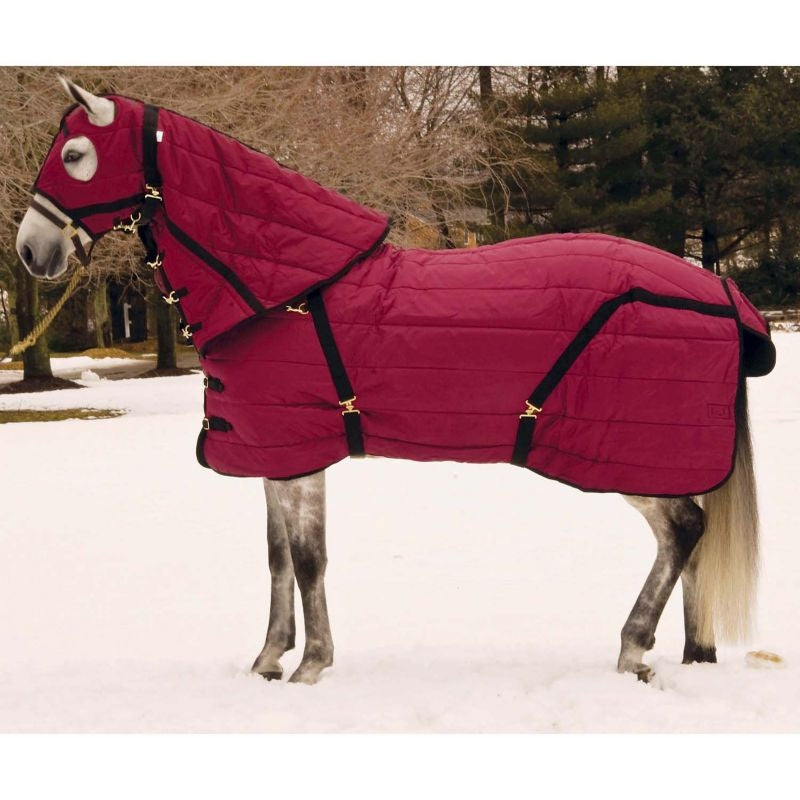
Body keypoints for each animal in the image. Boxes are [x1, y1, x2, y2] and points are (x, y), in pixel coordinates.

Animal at [15, 78, 776, 685]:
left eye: (76, 156)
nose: (30, 251)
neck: (289, 286)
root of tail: (720, 289)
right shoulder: (277, 454)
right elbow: (278, 559)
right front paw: (268, 660)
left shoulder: (303, 453)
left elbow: (309, 559)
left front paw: (311, 665)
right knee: (688, 539)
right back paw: (681, 654)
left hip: (620, 455)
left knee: (683, 529)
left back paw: (632, 648)